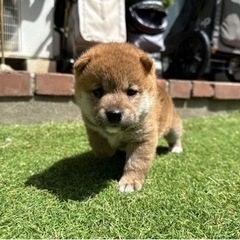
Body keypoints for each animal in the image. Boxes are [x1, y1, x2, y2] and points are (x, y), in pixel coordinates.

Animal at [74, 42, 183, 193]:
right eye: (98, 91)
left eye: (131, 92)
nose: (114, 114)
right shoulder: (92, 128)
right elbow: (101, 147)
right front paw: (111, 151)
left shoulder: (143, 139)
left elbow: (136, 163)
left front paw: (130, 182)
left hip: (173, 127)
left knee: (176, 137)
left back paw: (176, 148)